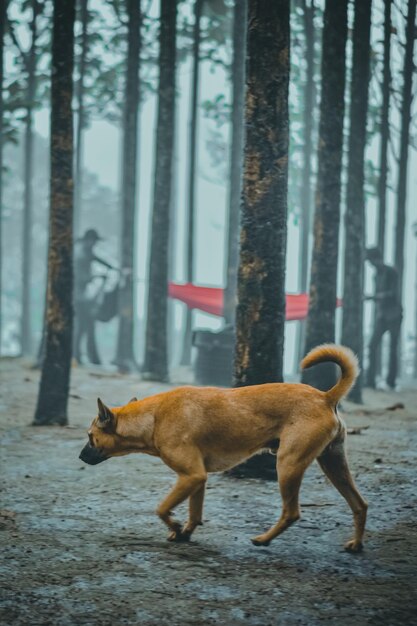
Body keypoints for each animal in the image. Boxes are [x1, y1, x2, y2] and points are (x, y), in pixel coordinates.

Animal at [79, 342, 366, 552]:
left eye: (91, 437)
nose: (80, 457)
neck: (153, 417)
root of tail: (325, 397)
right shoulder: (196, 478)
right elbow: (194, 513)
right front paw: (184, 532)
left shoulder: (191, 475)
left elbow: (161, 508)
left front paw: (175, 526)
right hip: (333, 464)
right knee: (360, 505)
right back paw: (356, 544)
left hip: (288, 465)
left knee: (292, 512)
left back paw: (264, 539)